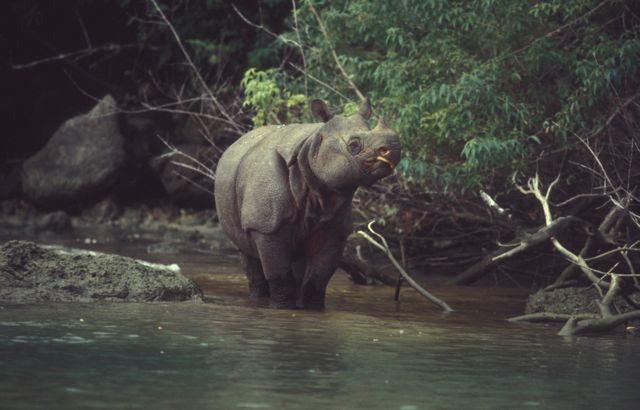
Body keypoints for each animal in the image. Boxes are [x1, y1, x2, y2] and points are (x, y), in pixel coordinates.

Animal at [214, 99, 401, 309]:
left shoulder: (334, 229)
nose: (394, 149)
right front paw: (282, 308)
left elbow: (318, 278)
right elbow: (279, 275)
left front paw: (312, 309)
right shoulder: (265, 226)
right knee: (248, 253)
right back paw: (258, 298)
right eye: (353, 145)